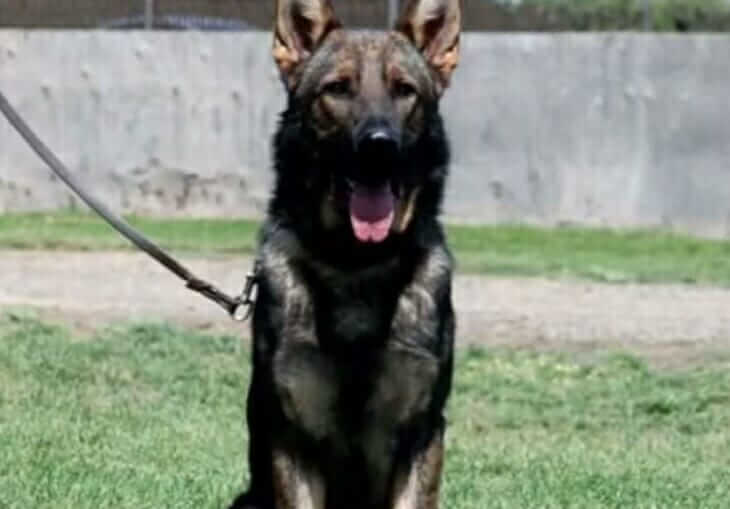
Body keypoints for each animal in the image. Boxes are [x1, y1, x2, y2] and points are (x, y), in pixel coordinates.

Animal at [229, 1, 460, 506]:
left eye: (404, 91)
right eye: (337, 89)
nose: (379, 146)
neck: (356, 265)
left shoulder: (421, 433)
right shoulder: (293, 437)